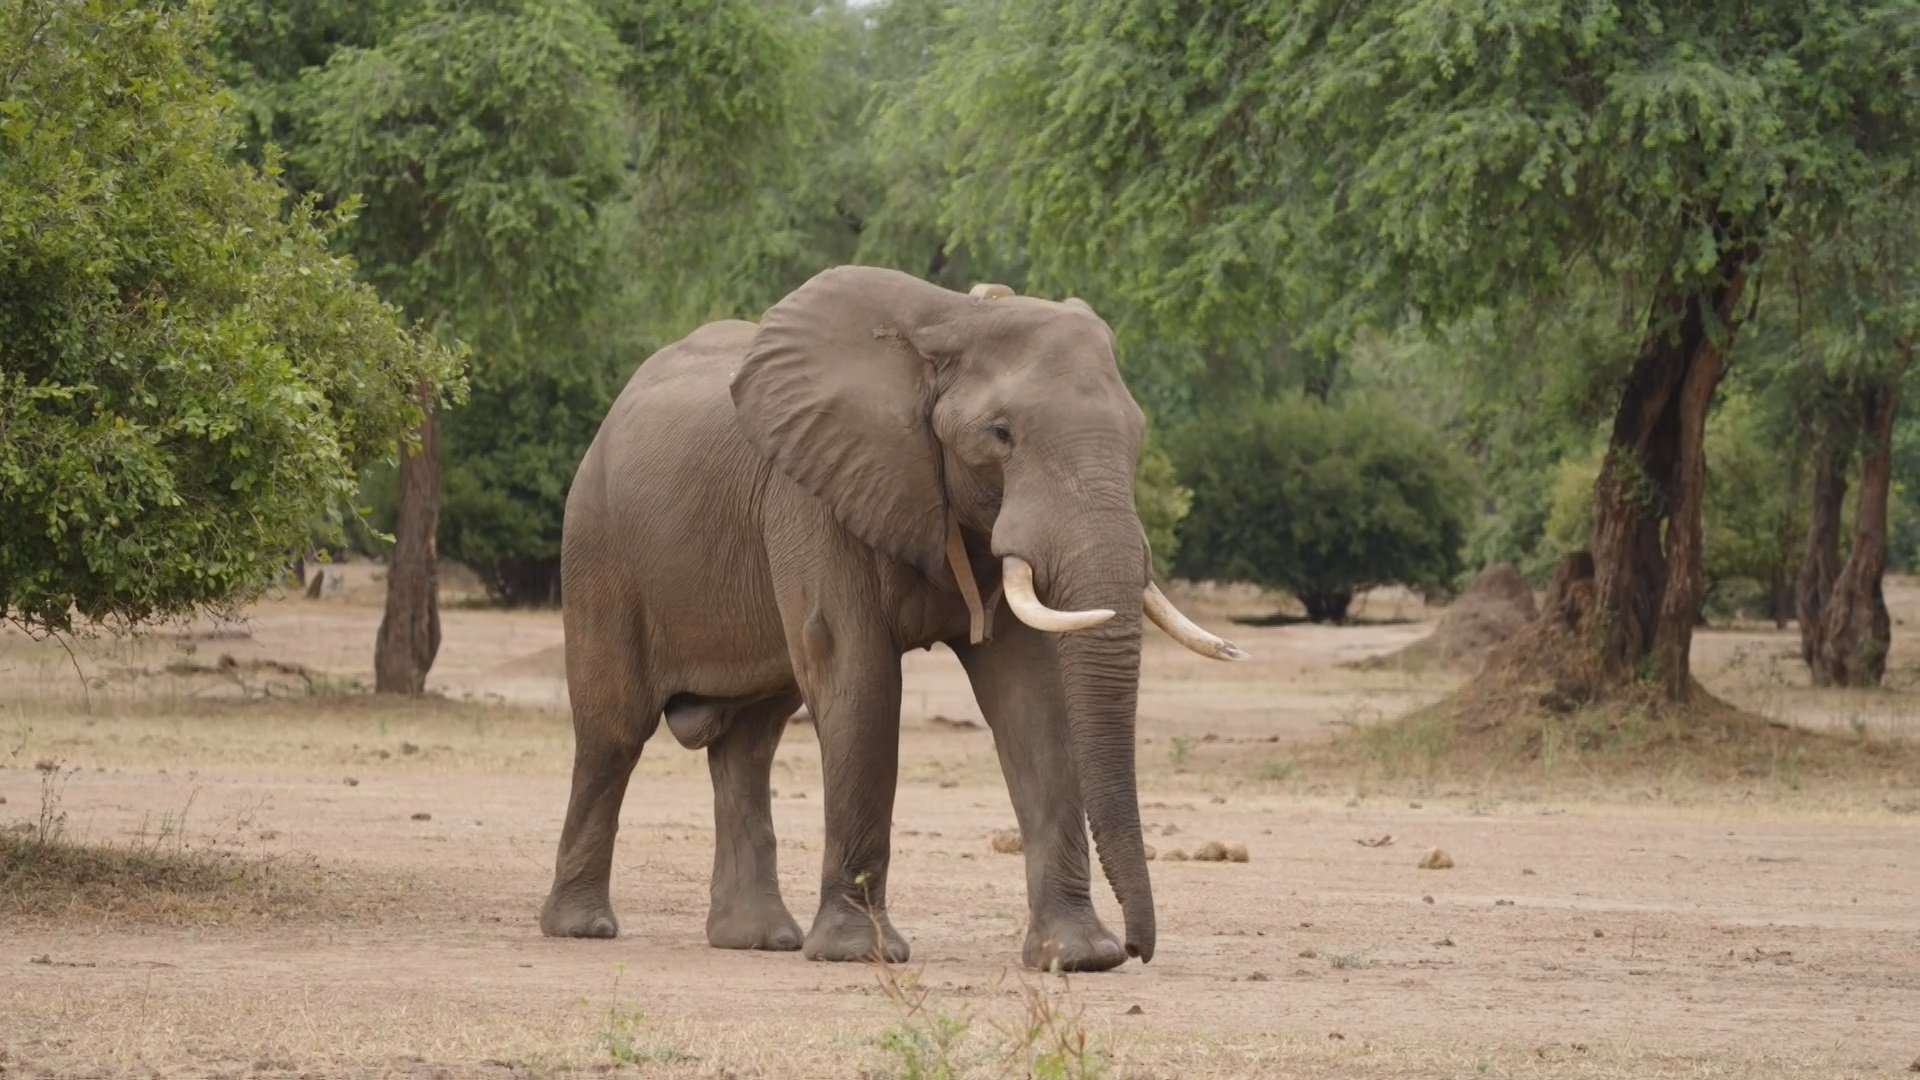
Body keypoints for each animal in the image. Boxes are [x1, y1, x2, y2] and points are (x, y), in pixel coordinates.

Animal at [541, 263, 1244, 968]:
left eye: (1137, 436)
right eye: (1002, 434)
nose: (1137, 947)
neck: (954, 320)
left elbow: (1033, 699)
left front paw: (1075, 957)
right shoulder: (815, 491)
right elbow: (859, 679)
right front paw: (859, 953)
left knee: (750, 742)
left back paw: (760, 940)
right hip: (598, 549)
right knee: (613, 731)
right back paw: (582, 927)